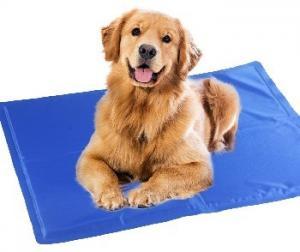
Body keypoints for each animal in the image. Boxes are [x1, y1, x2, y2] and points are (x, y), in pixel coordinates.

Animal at [76, 8, 240, 210]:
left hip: (225, 92)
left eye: (167, 38)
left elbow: (165, 175)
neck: (143, 108)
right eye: (135, 31)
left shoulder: (199, 165)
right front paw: (111, 194)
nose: (147, 50)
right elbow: (104, 173)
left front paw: (144, 192)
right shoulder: (89, 157)